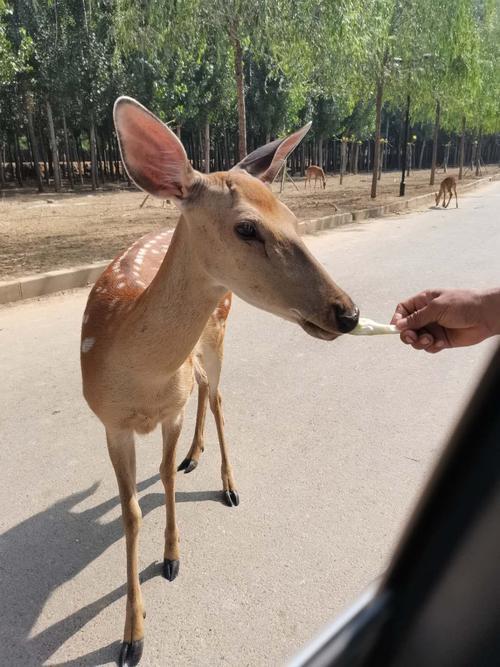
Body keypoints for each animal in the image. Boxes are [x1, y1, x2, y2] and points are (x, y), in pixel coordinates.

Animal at [79, 96, 360, 664]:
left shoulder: (171, 406)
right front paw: (131, 635)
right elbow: (129, 512)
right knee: (209, 391)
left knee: (218, 394)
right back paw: (197, 456)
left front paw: (171, 559)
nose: (347, 312)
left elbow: (163, 479)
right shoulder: (110, 422)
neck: (135, 372)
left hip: (220, 330)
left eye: (293, 218)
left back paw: (227, 483)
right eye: (247, 228)